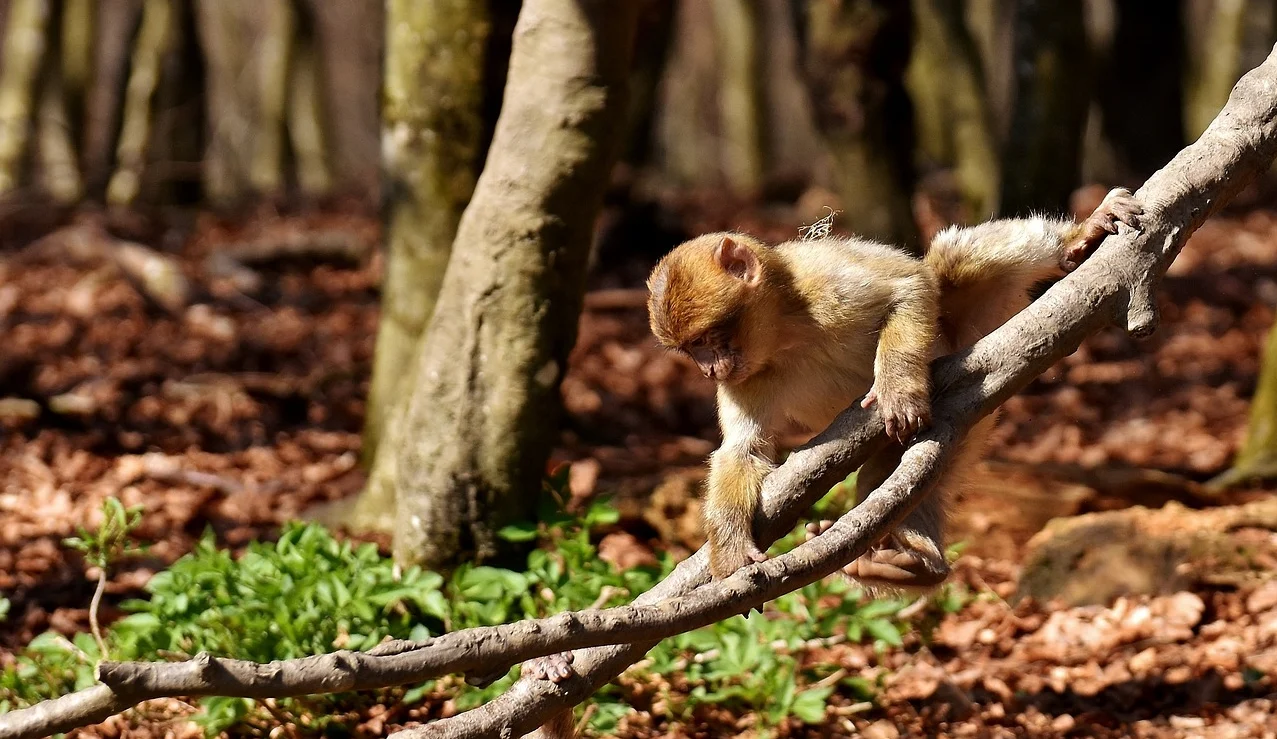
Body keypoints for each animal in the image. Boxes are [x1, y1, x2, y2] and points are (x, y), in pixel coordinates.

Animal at [643, 188, 1144, 584]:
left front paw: (898, 389)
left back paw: (1077, 238)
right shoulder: (746, 378)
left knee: (952, 262)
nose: (709, 371)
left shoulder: (823, 280)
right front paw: (729, 551)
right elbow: (743, 451)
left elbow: (910, 286)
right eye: (690, 350)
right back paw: (908, 565)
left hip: (974, 325)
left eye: (705, 340)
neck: (786, 335)